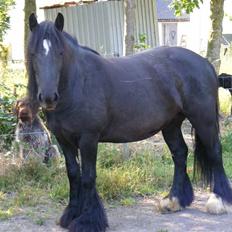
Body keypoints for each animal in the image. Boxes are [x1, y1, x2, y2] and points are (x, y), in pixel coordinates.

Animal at [26, 13, 232, 231]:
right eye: (33, 53)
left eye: (60, 53)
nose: (48, 97)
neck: (78, 83)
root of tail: (204, 63)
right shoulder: (64, 139)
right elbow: (73, 174)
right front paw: (71, 214)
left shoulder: (88, 139)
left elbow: (88, 177)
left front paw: (87, 220)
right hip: (171, 124)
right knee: (180, 154)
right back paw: (173, 200)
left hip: (203, 119)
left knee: (214, 152)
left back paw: (218, 202)